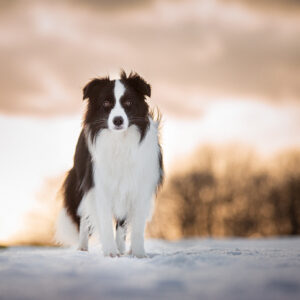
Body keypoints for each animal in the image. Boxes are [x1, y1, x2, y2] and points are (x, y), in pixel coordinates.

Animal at [56, 71, 164, 258]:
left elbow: (136, 227)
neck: (119, 141)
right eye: (106, 103)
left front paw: (138, 253)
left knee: (121, 223)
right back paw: (83, 247)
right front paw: (110, 252)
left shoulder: (139, 186)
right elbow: (104, 221)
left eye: (128, 102)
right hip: (80, 182)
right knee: (84, 216)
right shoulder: (98, 186)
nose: (118, 120)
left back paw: (121, 248)